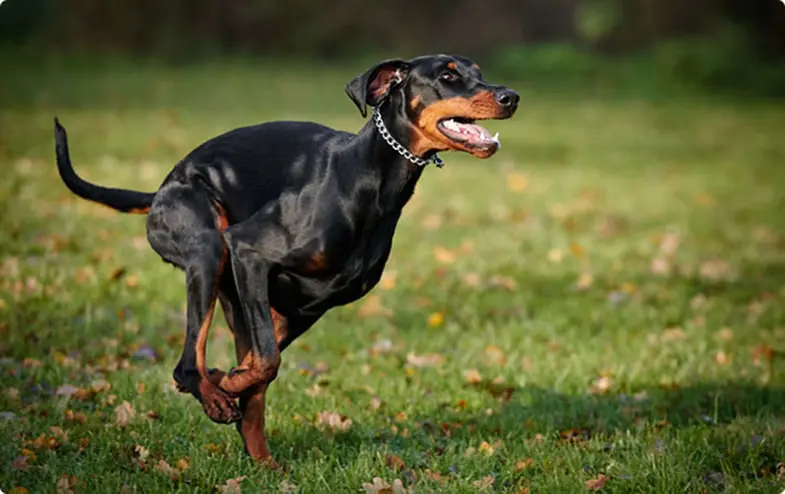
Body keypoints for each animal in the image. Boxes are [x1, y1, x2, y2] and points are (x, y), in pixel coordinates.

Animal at [55, 55, 520, 466]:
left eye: (478, 72)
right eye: (448, 75)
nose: (511, 96)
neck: (367, 179)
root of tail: (161, 190)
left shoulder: (307, 307)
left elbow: (261, 368)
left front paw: (228, 382)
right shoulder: (248, 251)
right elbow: (265, 362)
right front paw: (225, 384)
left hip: (241, 298)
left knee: (244, 389)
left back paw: (261, 459)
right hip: (209, 249)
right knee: (187, 364)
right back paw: (214, 397)